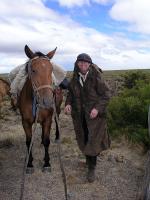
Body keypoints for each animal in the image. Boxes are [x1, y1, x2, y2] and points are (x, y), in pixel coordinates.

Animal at [18, 44, 63, 173]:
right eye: (33, 70)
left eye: (51, 70)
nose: (47, 101)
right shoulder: (25, 122)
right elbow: (29, 142)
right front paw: (29, 163)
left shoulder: (47, 120)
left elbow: (47, 141)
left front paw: (47, 163)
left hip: (57, 108)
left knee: (57, 120)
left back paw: (57, 137)